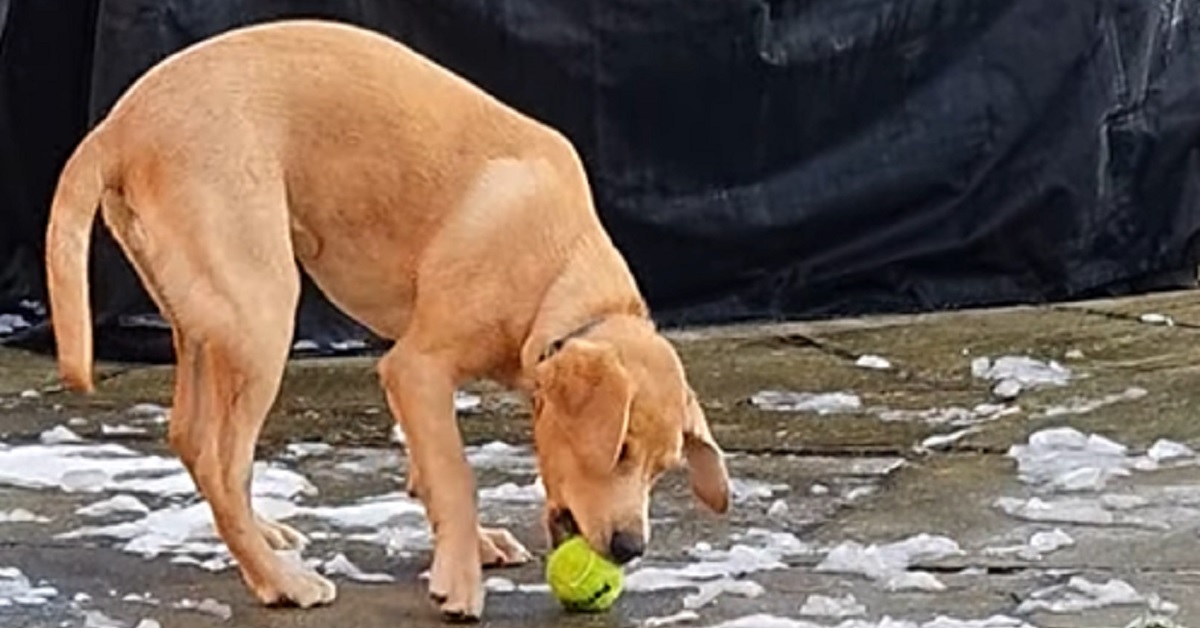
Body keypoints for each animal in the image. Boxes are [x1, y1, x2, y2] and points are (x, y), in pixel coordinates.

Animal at [44, 17, 729, 619]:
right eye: (619, 451)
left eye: (662, 470)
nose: (630, 549)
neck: (560, 276)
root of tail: (120, 122)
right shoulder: (416, 369)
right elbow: (456, 476)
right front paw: (460, 580)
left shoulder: (414, 375)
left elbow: (430, 471)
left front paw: (471, 546)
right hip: (262, 314)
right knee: (222, 462)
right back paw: (281, 581)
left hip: (203, 325)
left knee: (192, 438)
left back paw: (266, 540)